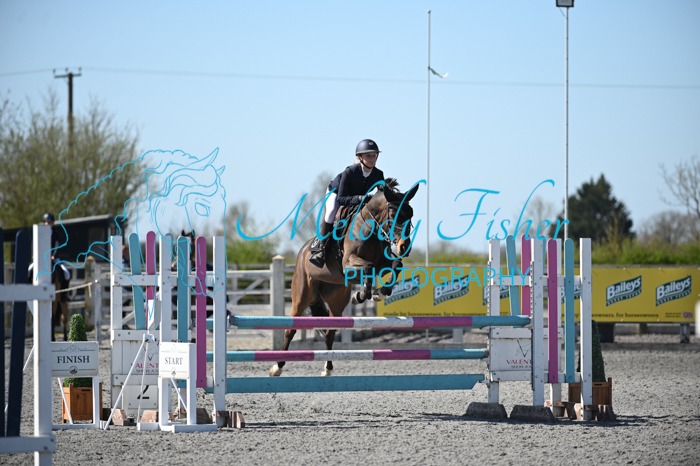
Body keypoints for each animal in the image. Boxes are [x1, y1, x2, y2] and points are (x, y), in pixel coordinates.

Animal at [270, 178, 419, 377]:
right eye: (393, 213)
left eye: (410, 213)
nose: (404, 247)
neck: (370, 228)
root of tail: (302, 251)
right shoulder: (349, 264)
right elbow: (368, 267)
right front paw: (362, 295)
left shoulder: (382, 264)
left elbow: (396, 265)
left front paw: (380, 292)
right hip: (301, 296)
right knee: (290, 329)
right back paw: (277, 367)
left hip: (336, 301)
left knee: (330, 332)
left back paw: (327, 368)